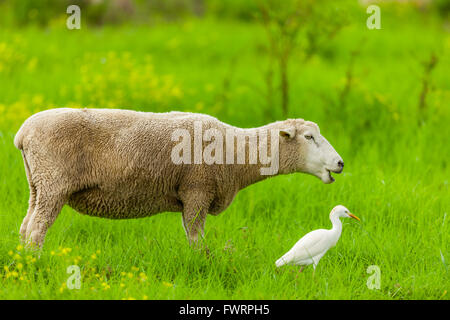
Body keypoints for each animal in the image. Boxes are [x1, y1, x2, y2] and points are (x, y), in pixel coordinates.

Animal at [14, 109, 344, 249]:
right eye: (309, 137)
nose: (340, 163)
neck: (237, 152)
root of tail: (22, 134)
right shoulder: (197, 190)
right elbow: (196, 238)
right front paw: (202, 262)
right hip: (53, 182)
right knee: (36, 230)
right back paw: (37, 262)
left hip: (37, 184)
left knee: (25, 227)